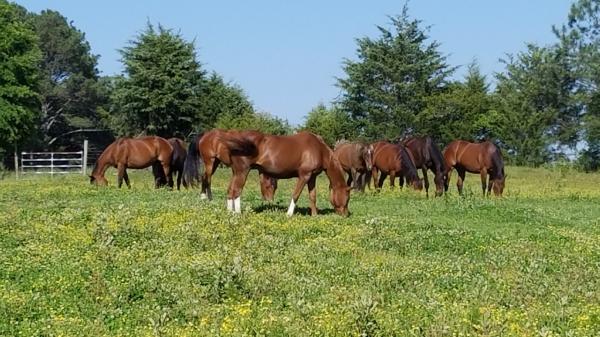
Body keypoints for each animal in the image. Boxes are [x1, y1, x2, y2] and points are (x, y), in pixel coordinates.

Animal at [220, 130, 352, 217]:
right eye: (347, 199)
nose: (345, 215)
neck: (319, 149)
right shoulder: (304, 175)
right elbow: (296, 194)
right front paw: (289, 214)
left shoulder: (312, 177)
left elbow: (312, 196)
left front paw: (314, 215)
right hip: (243, 171)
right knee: (236, 191)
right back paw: (238, 213)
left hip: (236, 172)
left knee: (230, 191)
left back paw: (230, 212)